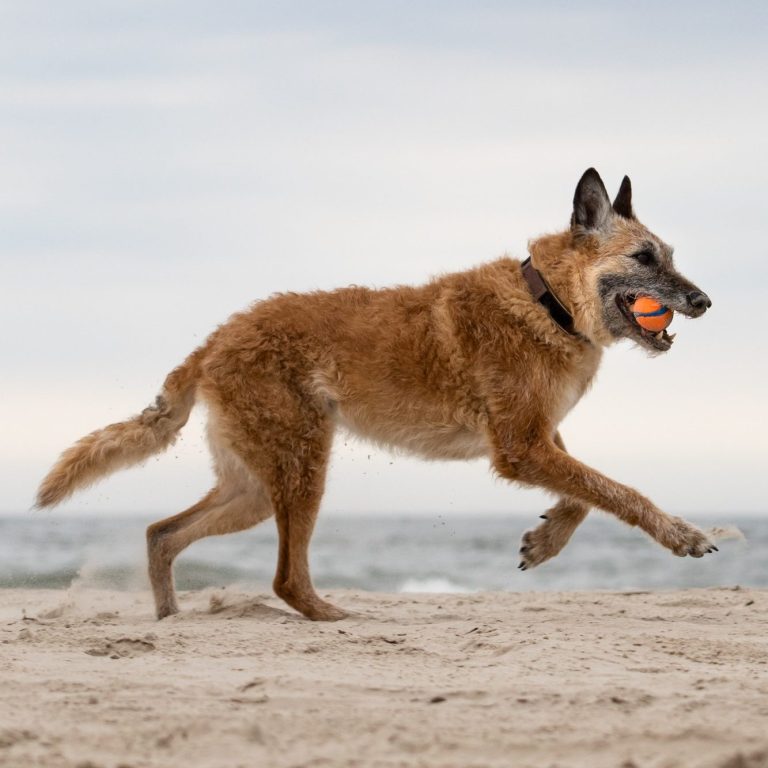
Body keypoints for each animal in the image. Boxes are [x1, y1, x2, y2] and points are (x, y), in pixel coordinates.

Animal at [36, 170, 716, 624]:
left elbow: (584, 495)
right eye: (645, 258)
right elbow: (619, 492)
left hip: (252, 488)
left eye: (669, 257)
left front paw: (545, 540)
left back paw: (171, 618)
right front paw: (680, 534)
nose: (705, 301)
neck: (547, 299)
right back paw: (327, 615)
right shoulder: (522, 448)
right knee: (283, 578)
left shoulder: (533, 438)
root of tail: (217, 339)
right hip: (301, 471)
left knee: (162, 534)